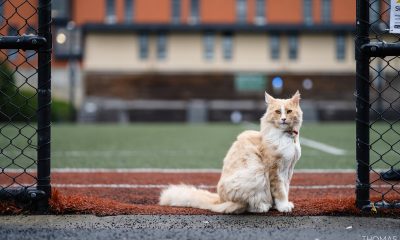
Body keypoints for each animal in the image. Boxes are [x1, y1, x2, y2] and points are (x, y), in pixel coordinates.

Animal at [159, 91, 304, 214]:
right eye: (278, 112)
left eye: (289, 111)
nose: (283, 119)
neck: (287, 137)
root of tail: (219, 199)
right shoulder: (274, 169)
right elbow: (280, 191)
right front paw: (283, 207)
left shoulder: (288, 169)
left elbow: (285, 188)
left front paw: (281, 205)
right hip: (256, 175)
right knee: (245, 206)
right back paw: (262, 207)